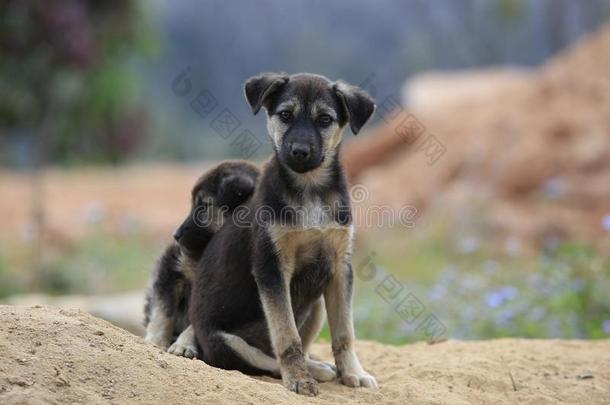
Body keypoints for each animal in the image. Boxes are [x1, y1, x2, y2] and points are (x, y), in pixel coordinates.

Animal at [144, 160, 258, 356]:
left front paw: (183, 344)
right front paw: (156, 340)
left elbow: (195, 325)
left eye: (203, 206)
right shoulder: (171, 266)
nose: (176, 235)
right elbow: (163, 310)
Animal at [190, 71, 376, 392]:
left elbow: (344, 332)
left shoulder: (340, 266)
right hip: (226, 343)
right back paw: (313, 370)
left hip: (316, 304)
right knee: (266, 359)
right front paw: (299, 378)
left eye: (325, 119)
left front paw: (353, 372)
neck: (310, 187)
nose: (299, 152)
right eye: (286, 115)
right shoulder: (272, 268)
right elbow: (287, 337)